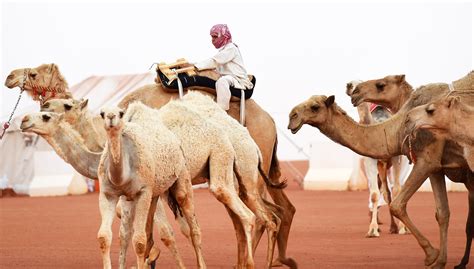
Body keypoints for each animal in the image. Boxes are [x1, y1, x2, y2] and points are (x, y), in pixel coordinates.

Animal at [97, 105, 205, 266]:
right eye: (102, 113)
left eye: (121, 113)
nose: (111, 117)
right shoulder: (108, 194)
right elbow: (105, 237)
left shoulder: (143, 192)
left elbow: (139, 241)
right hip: (153, 194)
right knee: (139, 234)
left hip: (182, 175)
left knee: (193, 226)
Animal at [344, 80, 408, 236]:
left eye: (359, 84)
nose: (348, 85)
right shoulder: (371, 160)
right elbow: (374, 194)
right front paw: (373, 229)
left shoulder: (396, 157)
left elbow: (397, 190)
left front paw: (403, 228)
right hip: (381, 165)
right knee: (385, 192)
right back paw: (390, 226)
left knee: (394, 189)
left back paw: (399, 227)